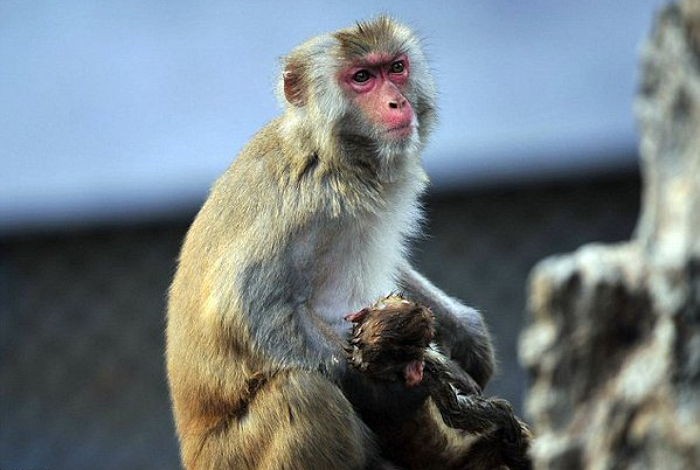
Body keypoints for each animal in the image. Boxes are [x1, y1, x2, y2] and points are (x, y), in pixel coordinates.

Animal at [167, 16, 494, 470]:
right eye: (361, 78)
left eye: (396, 68)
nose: (397, 102)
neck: (337, 155)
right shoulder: (304, 201)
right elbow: (246, 306)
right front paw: (389, 391)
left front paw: (465, 334)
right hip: (231, 456)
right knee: (303, 393)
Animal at [348, 296, 532, 468]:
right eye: (422, 335)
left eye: (401, 302)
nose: (423, 309)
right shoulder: (431, 380)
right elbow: (456, 414)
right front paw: (505, 416)